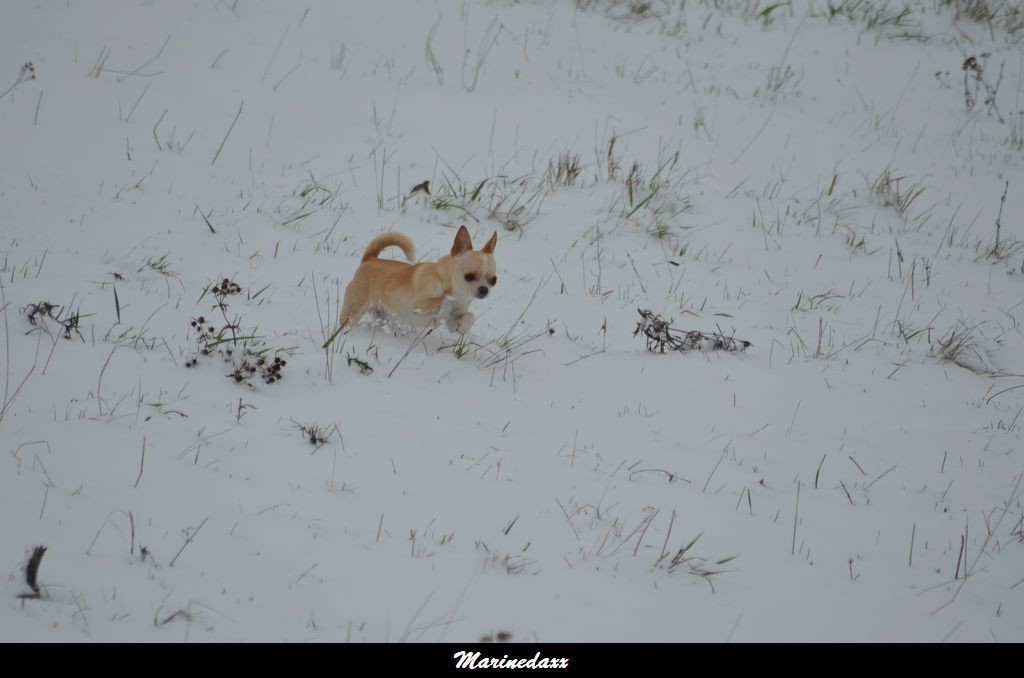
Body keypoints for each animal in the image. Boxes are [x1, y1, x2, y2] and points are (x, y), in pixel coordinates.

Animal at [342, 227, 497, 335]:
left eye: (494, 281)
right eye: (469, 277)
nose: (484, 289)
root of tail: (370, 259)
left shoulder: (452, 319)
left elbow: (468, 316)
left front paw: (463, 326)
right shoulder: (418, 306)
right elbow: (443, 300)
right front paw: (446, 303)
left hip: (383, 315)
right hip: (353, 313)